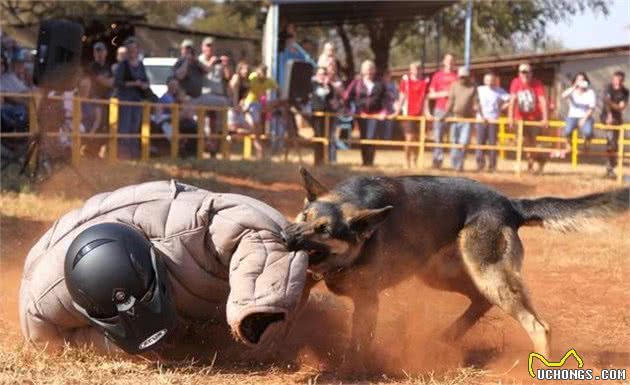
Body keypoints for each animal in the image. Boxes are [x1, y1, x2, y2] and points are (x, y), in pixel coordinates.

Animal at [282, 167, 630, 366]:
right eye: (304, 217)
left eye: (325, 231)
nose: (286, 237)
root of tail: (510, 204)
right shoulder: (307, 285)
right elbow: (289, 318)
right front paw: (280, 353)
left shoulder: (368, 302)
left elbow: (357, 345)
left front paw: (351, 370)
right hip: (442, 274)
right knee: (480, 302)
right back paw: (448, 336)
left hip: (488, 275)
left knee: (538, 325)